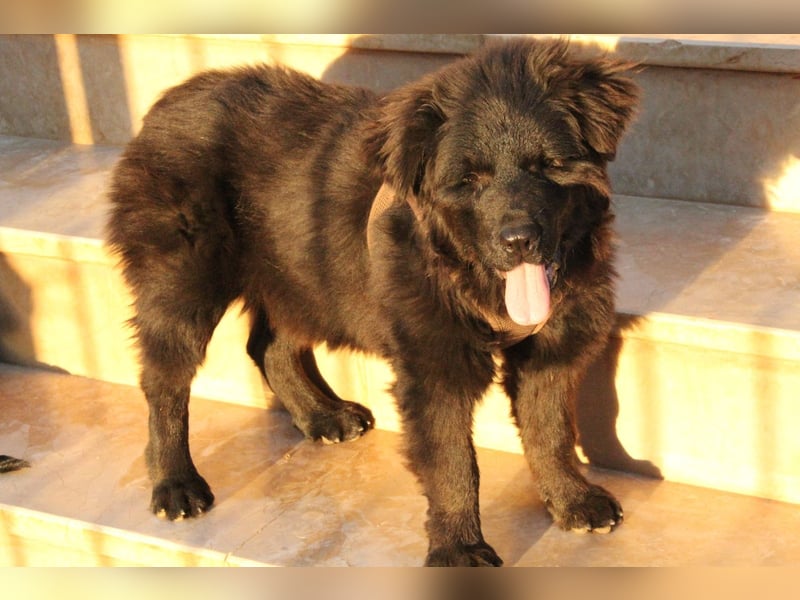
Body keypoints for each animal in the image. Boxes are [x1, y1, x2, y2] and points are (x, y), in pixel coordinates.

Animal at [106, 38, 640, 568]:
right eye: (469, 180)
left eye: (550, 165)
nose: (518, 240)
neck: (464, 275)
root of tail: (165, 105)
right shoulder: (432, 366)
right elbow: (452, 462)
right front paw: (459, 550)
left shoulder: (554, 347)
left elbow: (550, 429)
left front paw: (572, 501)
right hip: (183, 282)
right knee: (164, 381)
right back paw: (175, 483)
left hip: (302, 274)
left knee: (269, 346)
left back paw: (322, 416)